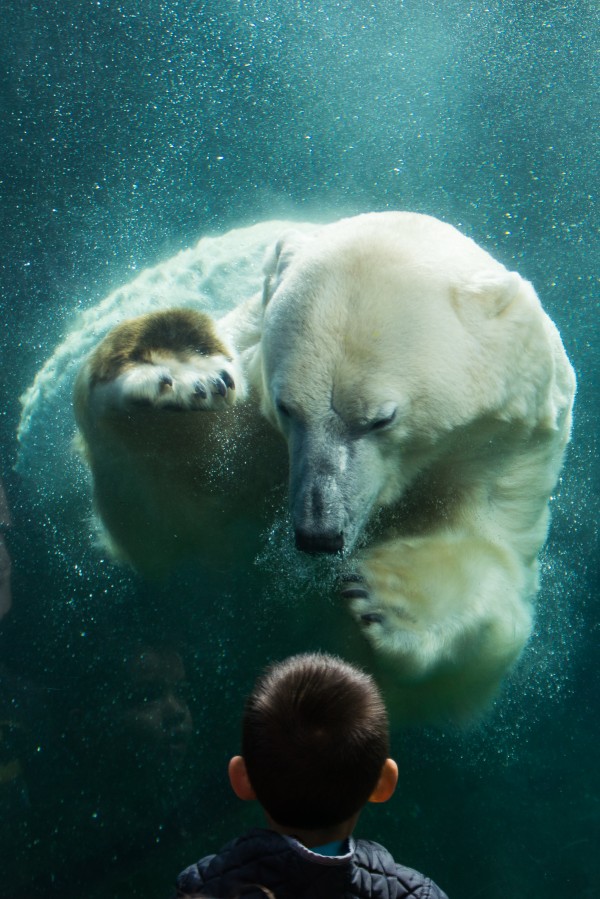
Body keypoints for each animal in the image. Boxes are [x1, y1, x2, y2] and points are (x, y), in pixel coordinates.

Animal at [18, 212, 576, 722]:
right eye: (288, 408)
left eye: (381, 419)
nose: (318, 532)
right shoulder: (255, 405)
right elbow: (168, 519)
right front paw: (180, 370)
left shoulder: (502, 453)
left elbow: (487, 589)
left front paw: (385, 597)